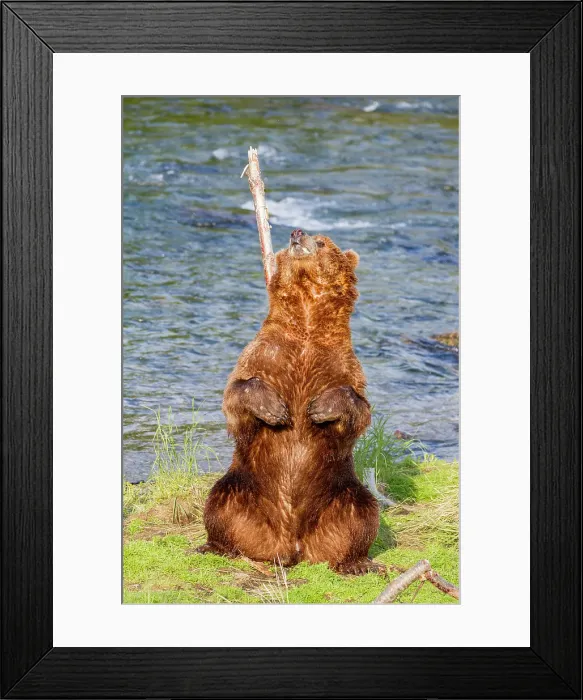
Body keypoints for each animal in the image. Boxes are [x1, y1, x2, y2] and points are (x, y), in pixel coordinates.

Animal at [198, 228, 384, 575]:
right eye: (291, 241)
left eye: (322, 241)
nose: (297, 234)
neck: (307, 321)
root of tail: (291, 544)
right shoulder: (264, 353)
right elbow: (235, 391)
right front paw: (274, 409)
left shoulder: (344, 365)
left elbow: (360, 407)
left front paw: (320, 408)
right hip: (246, 485)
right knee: (220, 501)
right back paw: (215, 545)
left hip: (340, 490)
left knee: (363, 511)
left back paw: (356, 562)